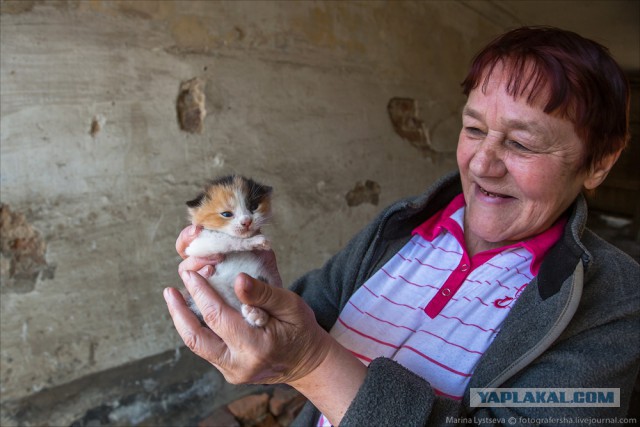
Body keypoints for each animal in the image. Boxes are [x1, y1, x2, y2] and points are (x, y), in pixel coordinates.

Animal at [185, 174, 276, 328]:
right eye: (226, 214)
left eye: (253, 207)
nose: (247, 221)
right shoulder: (197, 244)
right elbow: (227, 239)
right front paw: (255, 242)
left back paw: (257, 314)